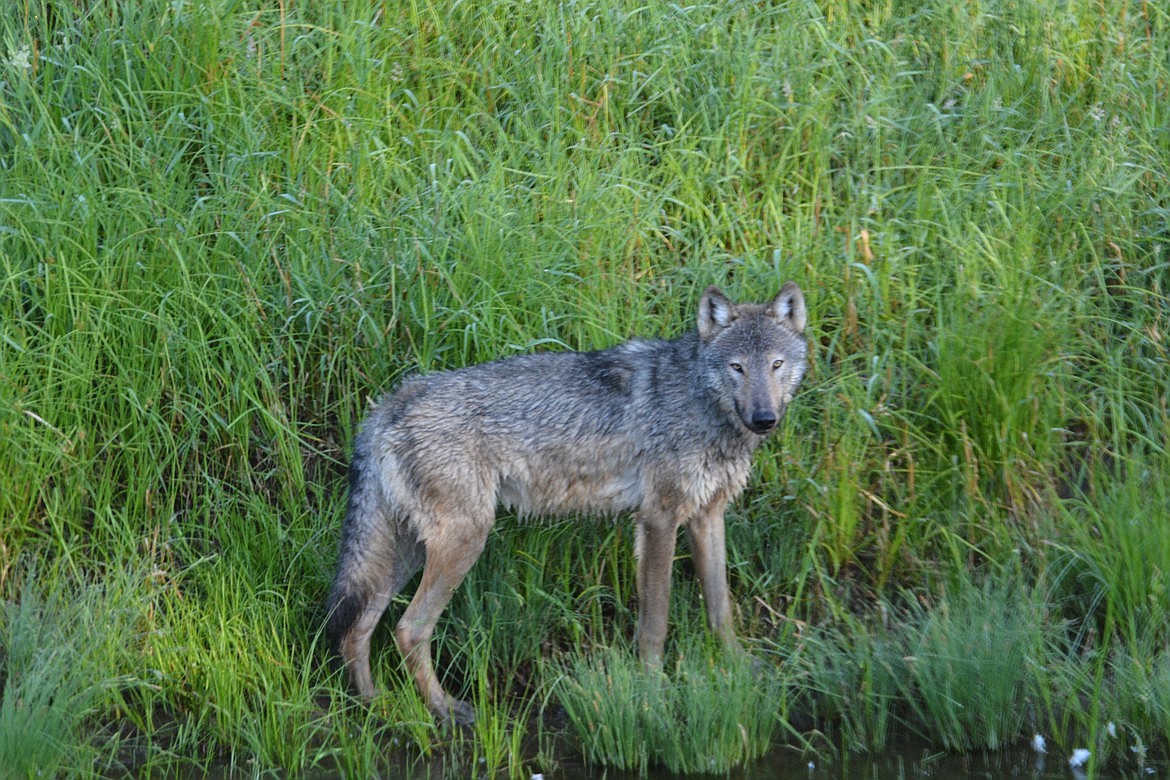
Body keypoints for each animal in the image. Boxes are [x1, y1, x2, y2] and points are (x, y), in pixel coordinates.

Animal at [327, 284, 804, 725]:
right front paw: (653, 694)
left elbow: (720, 608)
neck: (700, 401)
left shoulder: (708, 517)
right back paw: (446, 710)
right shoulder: (659, 518)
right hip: (463, 541)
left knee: (359, 627)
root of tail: (390, 403)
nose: (764, 419)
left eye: (776, 364)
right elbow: (656, 622)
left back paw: (373, 705)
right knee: (409, 630)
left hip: (409, 551)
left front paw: (740, 668)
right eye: (736, 367)